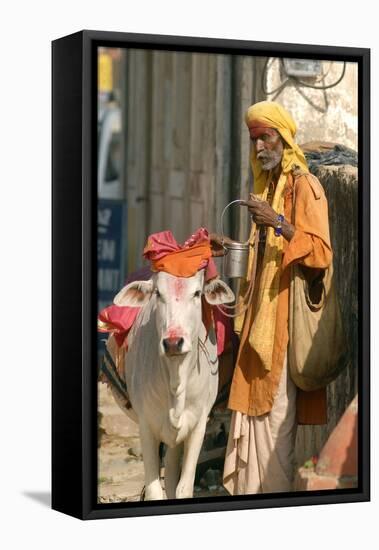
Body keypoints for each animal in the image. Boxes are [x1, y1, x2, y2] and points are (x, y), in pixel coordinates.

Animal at [113, 270, 235, 502]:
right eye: (158, 293)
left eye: (197, 293)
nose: (173, 342)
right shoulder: (146, 427)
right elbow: (153, 491)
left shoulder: (198, 426)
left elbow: (183, 488)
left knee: (170, 476)